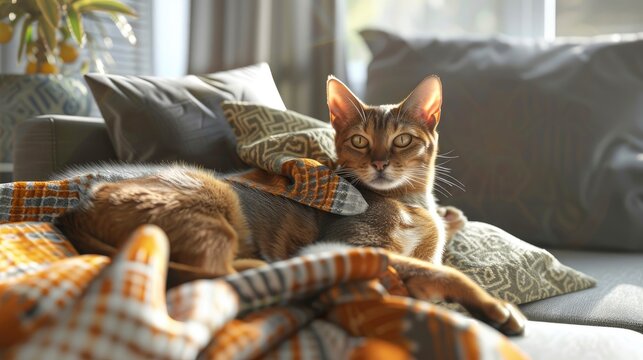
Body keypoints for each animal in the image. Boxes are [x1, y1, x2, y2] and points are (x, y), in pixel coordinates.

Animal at [55, 75, 528, 334]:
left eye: (402, 140)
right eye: (360, 140)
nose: (379, 163)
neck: (409, 203)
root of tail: (75, 209)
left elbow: (434, 256)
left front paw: (451, 219)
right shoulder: (351, 244)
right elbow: (443, 270)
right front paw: (496, 308)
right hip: (215, 198)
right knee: (212, 274)